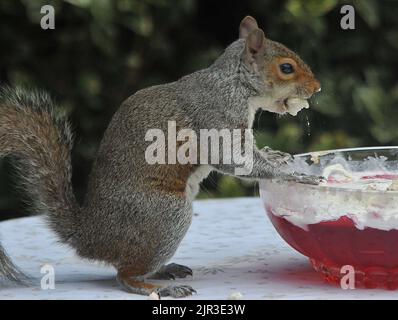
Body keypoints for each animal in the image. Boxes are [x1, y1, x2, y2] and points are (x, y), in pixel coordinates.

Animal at [0, 16, 320, 298]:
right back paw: (159, 288)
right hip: (165, 216)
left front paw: (276, 155)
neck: (235, 85)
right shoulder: (217, 119)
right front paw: (291, 173)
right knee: (125, 275)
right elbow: (233, 159)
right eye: (286, 68)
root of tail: (90, 239)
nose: (317, 88)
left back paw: (165, 270)